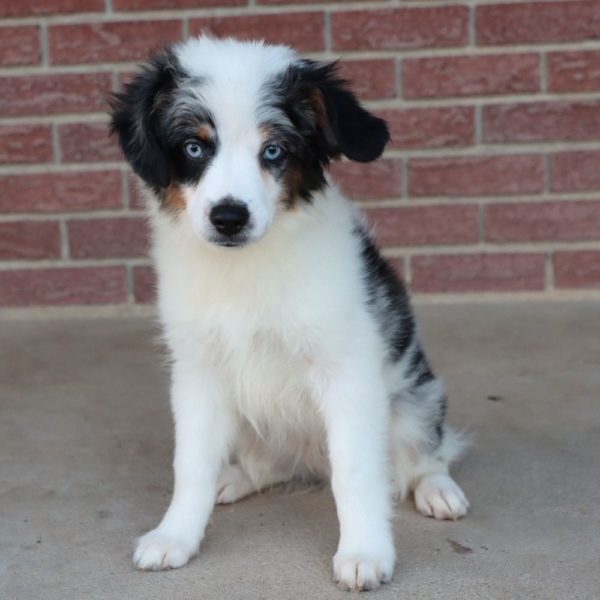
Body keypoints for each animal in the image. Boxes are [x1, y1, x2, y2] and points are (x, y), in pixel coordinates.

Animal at [111, 36, 468, 592]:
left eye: (274, 150)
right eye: (194, 147)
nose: (229, 218)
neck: (245, 270)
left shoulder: (347, 371)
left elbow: (356, 472)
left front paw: (364, 552)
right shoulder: (197, 372)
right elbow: (189, 463)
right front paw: (175, 536)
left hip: (414, 399)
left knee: (424, 451)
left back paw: (436, 489)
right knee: (268, 466)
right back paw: (233, 479)